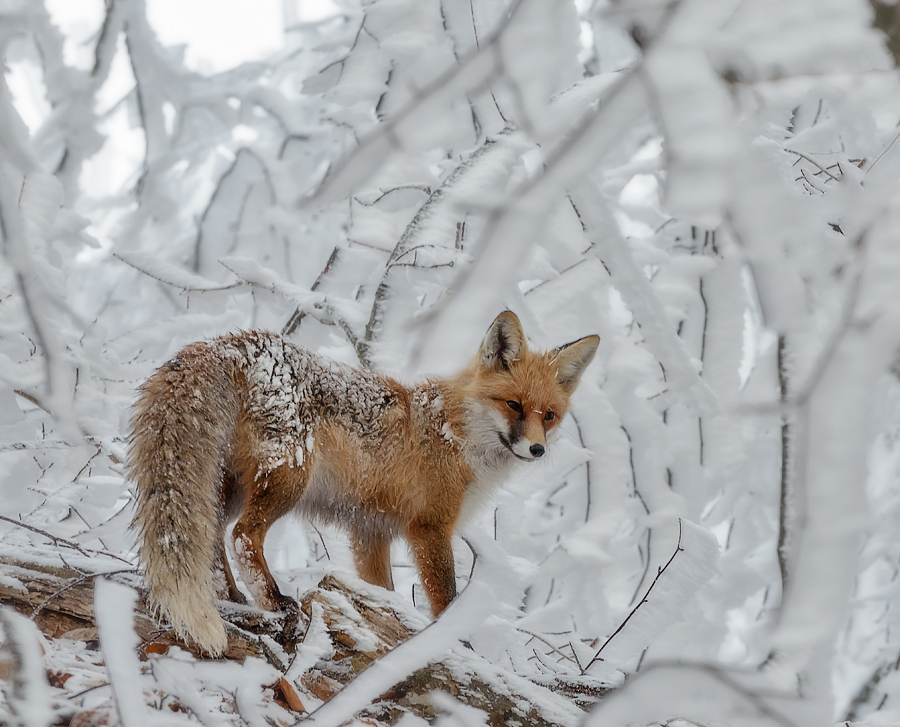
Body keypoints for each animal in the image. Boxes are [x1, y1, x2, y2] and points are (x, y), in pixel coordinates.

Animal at [128, 312, 596, 656]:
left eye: (549, 415)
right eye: (513, 404)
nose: (536, 449)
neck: (455, 435)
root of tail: (234, 341)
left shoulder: (370, 532)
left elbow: (381, 595)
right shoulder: (429, 529)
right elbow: (446, 602)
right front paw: (450, 646)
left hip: (226, 489)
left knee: (210, 540)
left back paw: (235, 599)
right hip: (287, 479)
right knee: (244, 536)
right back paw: (274, 601)